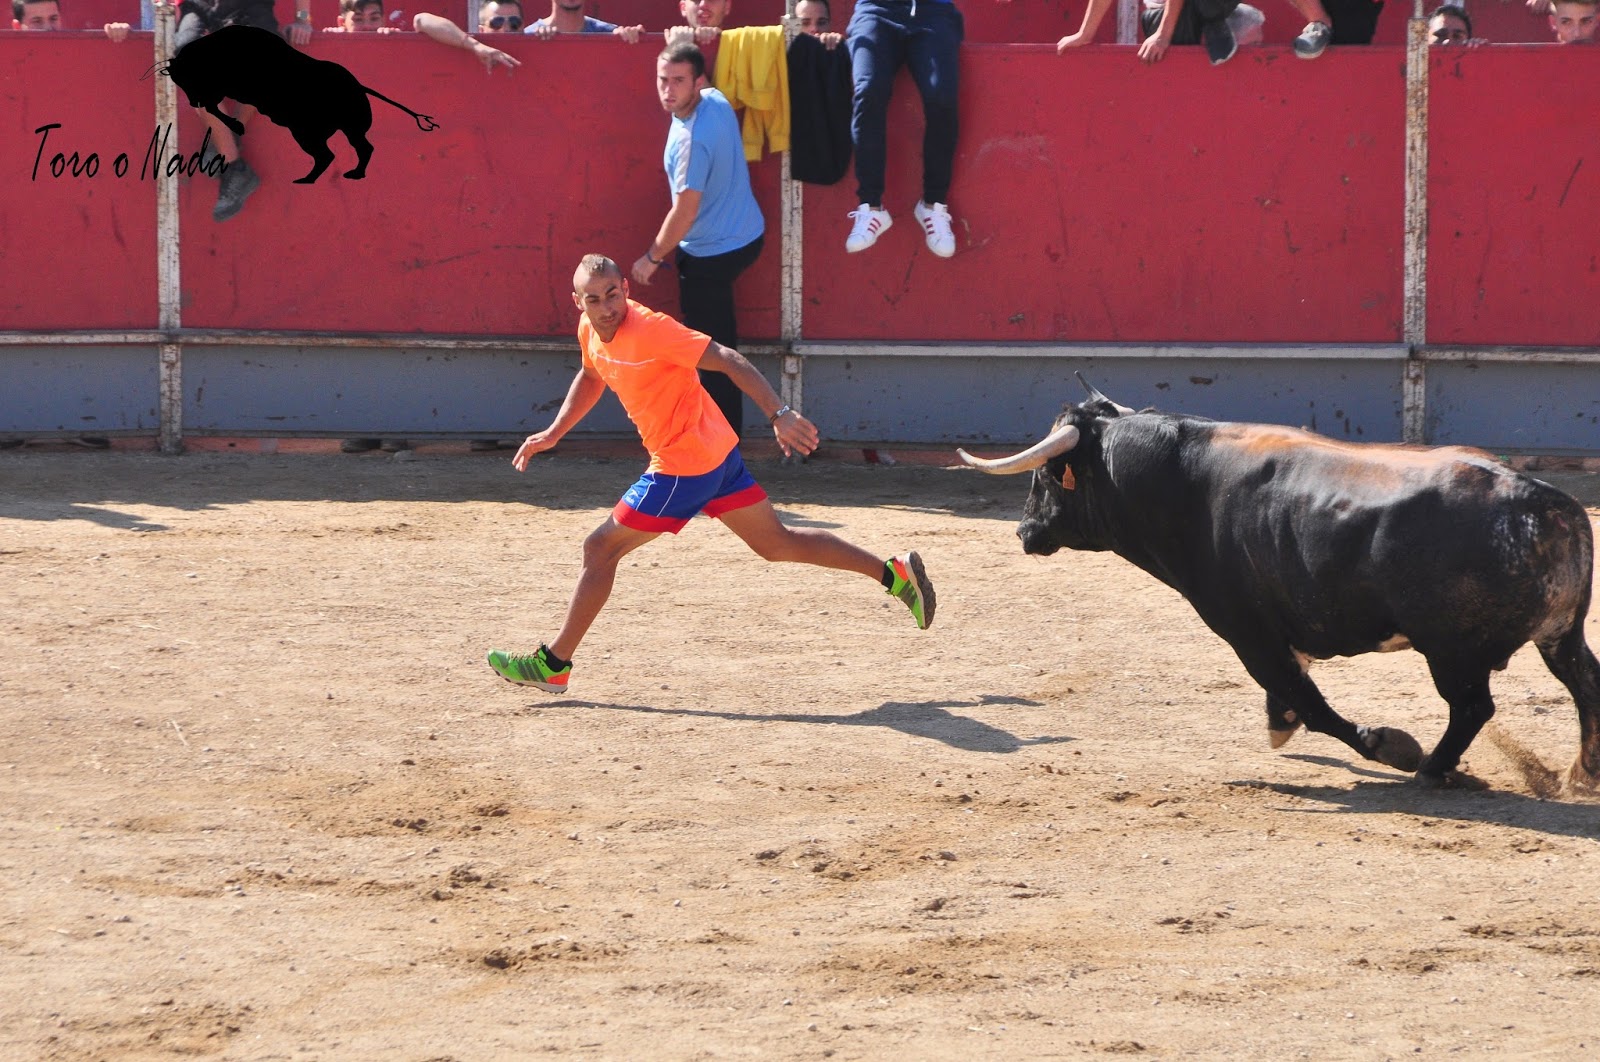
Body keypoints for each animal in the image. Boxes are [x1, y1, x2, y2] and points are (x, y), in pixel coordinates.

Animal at [958, 376, 1600, 792]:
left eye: (1046, 476)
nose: (1024, 531)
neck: (1182, 482)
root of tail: (1546, 505)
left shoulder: (1245, 629)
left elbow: (1307, 700)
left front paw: (1384, 744)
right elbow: (1295, 692)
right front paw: (1282, 726)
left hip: (1450, 650)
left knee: (1471, 706)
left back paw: (1432, 768)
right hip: (1560, 637)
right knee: (1583, 685)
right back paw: (1583, 773)